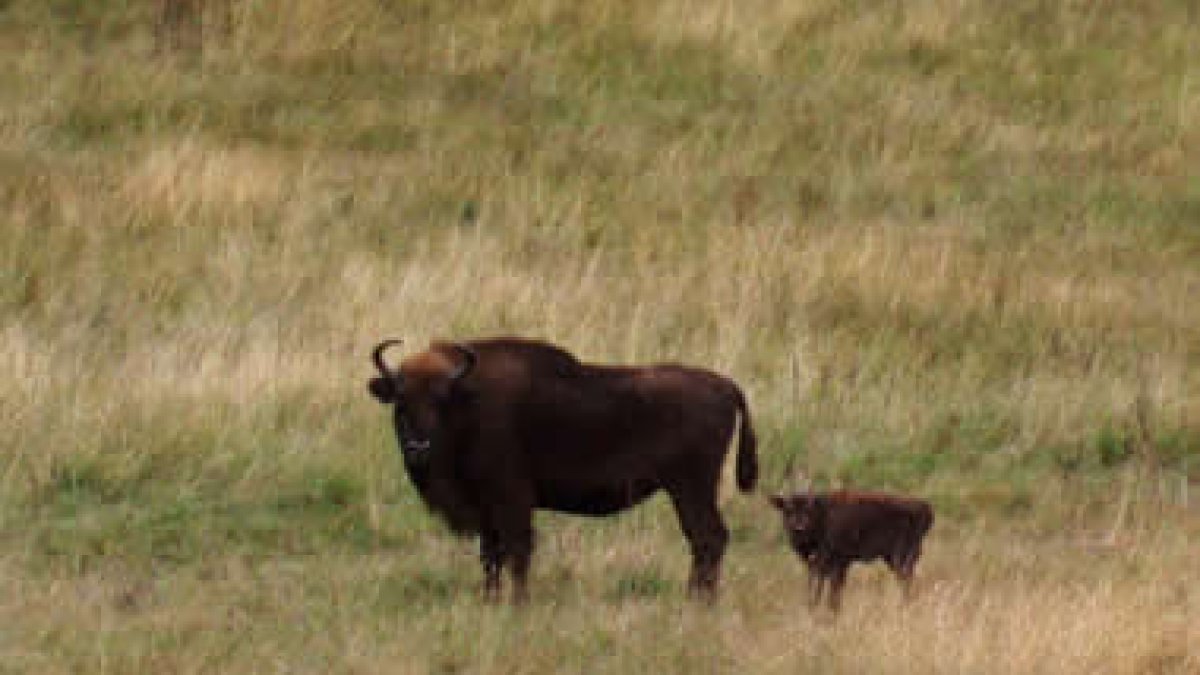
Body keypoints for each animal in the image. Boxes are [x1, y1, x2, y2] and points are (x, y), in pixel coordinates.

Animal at [367, 333, 758, 598]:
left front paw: (518, 605)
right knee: (705, 541)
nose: (418, 446)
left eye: (441, 400)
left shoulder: (511, 499)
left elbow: (517, 551)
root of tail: (726, 385)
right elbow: (490, 556)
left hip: (691, 488)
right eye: (400, 401)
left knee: (708, 538)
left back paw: (697, 601)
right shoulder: (486, 510)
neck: (470, 403)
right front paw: (491, 601)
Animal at [772, 487, 931, 610]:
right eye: (788, 510)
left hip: (901, 556)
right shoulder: (817, 566)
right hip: (892, 558)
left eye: (808, 509)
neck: (823, 517)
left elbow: (833, 593)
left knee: (907, 580)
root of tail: (925, 507)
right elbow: (817, 590)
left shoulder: (839, 563)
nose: (799, 527)